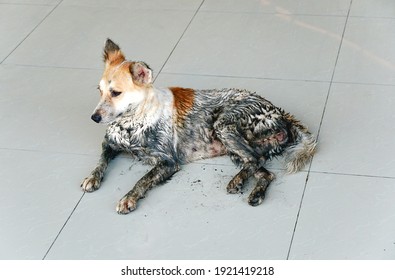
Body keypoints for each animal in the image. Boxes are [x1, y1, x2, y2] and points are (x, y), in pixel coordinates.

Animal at [81, 38, 318, 214]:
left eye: (116, 93)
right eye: (99, 91)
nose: (94, 117)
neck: (133, 121)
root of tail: (280, 112)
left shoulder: (168, 162)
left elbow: (142, 179)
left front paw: (128, 198)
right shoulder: (109, 144)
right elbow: (101, 161)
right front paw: (92, 177)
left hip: (224, 125)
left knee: (254, 160)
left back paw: (236, 182)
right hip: (234, 150)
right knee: (264, 171)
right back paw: (254, 193)